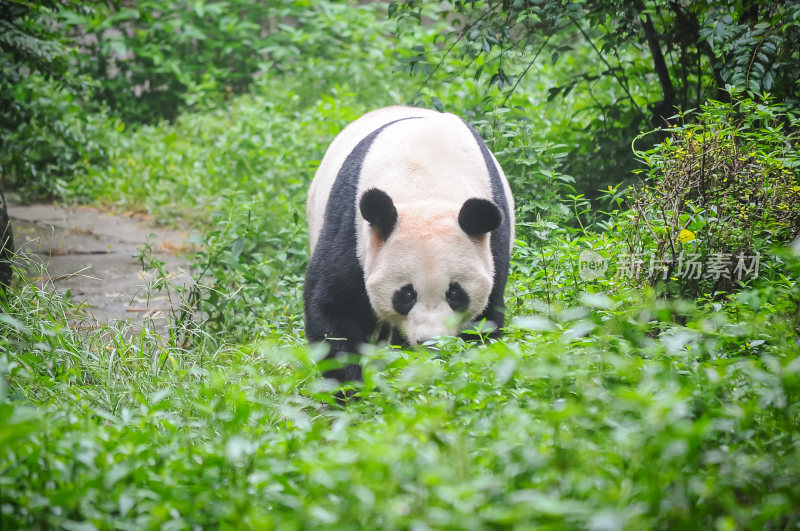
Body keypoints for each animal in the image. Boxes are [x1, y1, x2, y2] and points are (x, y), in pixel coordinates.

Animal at [304, 107, 516, 382]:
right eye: (406, 294)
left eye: (455, 293)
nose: (431, 343)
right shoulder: (352, 229)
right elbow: (334, 305)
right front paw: (353, 387)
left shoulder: (493, 244)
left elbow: (484, 320)